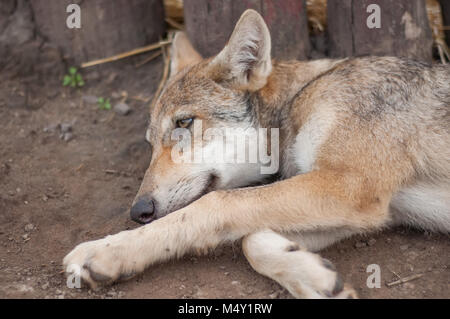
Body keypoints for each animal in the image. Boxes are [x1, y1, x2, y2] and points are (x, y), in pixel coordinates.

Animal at [64, 10, 450, 300]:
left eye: (184, 122)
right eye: (150, 144)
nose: (138, 211)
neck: (300, 97)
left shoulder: (349, 187)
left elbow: (214, 206)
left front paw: (104, 251)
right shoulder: (373, 210)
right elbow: (251, 240)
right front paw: (318, 280)